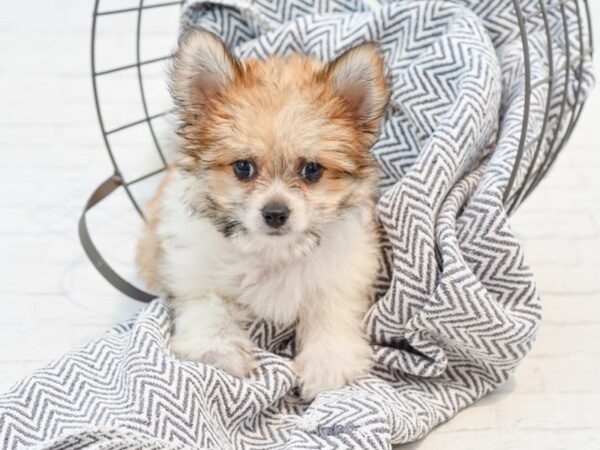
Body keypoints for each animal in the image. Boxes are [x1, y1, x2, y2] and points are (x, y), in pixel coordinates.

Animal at [135, 29, 390, 400]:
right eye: (244, 167)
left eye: (312, 170)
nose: (275, 213)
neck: (271, 251)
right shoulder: (193, 269)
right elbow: (208, 304)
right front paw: (218, 350)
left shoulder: (341, 273)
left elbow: (330, 309)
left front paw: (328, 362)